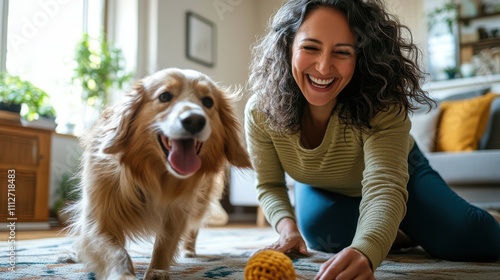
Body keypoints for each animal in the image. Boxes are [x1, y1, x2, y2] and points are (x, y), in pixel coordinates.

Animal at [61, 68, 252, 280]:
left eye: (208, 102)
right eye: (164, 96)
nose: (194, 120)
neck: (151, 176)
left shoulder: (178, 210)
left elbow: (165, 243)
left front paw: (157, 270)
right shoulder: (97, 219)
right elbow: (116, 252)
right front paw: (123, 274)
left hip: (200, 201)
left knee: (194, 227)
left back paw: (189, 249)